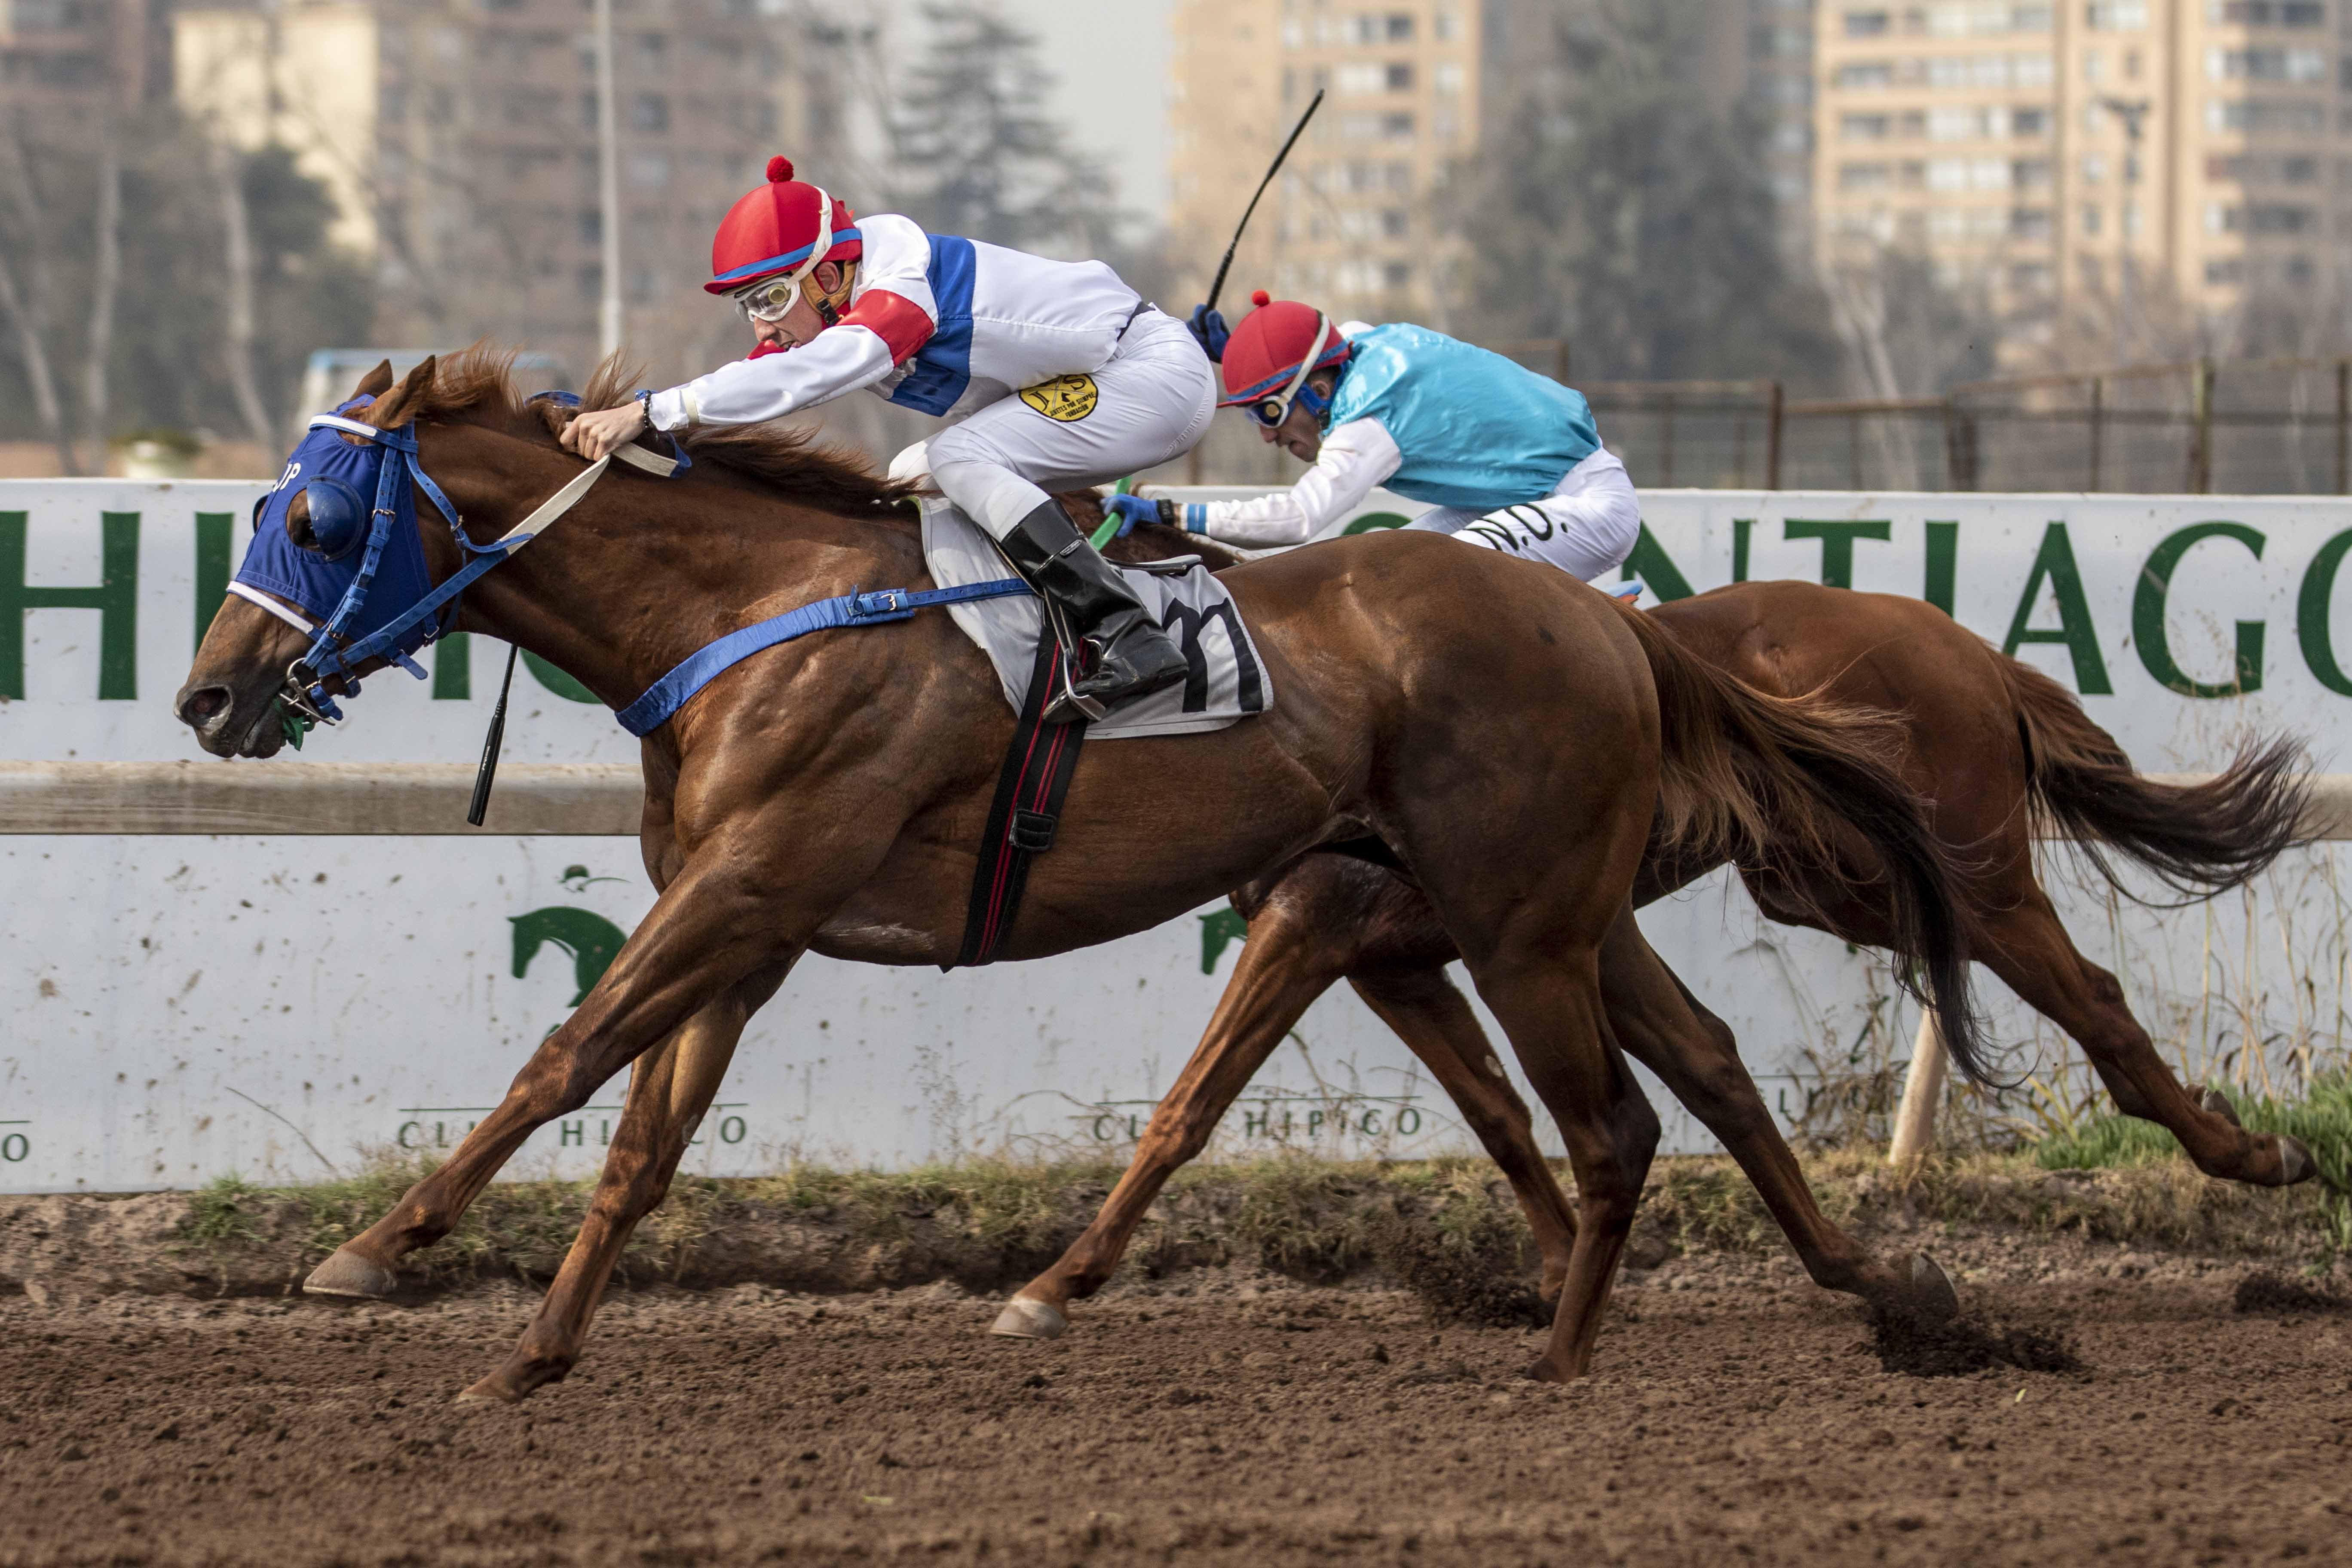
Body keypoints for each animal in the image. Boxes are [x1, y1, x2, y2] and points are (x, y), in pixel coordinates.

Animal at [171, 349, 1987, 1399]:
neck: (748, 615)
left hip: (1518, 916)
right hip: (1541, 911)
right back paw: (1885, 1295)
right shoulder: (750, 922)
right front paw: (534, 1354)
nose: (209, 698)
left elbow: (560, 1056)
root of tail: (1611, 620)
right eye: (266, 505)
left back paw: (1557, 1359)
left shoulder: (748, 886)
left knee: (1614, 1125)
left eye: (317, 520)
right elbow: (641, 1139)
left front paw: (377, 1249)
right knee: (1700, 1072)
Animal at [996, 521, 2317, 1336]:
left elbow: (1187, 1110)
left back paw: (2255, 1154)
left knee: (2093, 996)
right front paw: (1557, 1272)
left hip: (1953, 869)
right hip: (1834, 879)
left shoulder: (1320, 923)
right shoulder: (1397, 955)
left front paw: (1054, 1282)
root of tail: (1965, 647)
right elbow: (1501, 1111)